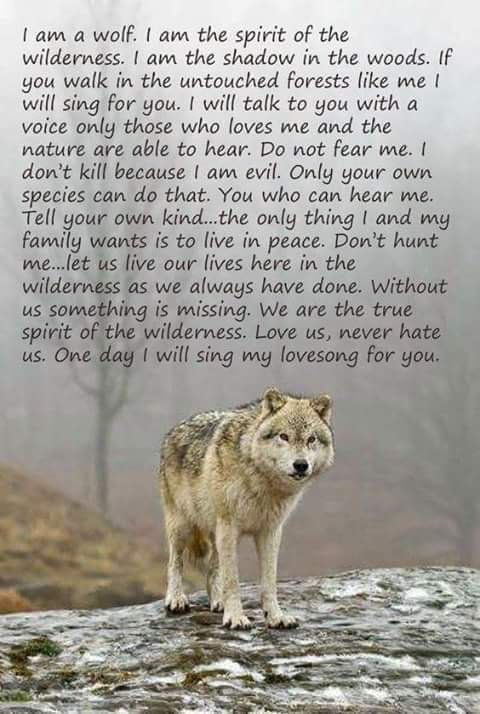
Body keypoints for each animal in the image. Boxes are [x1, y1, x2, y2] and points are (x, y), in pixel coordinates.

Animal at [159, 386, 336, 624]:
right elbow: (232, 580)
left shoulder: (270, 531)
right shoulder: (229, 528)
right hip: (182, 527)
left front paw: (275, 617)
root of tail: (174, 429)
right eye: (284, 436)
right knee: (174, 562)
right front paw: (235, 618)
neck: (262, 483)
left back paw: (218, 602)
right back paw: (176, 599)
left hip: (214, 532)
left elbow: (269, 581)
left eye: (311, 439)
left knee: (213, 569)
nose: (300, 465)